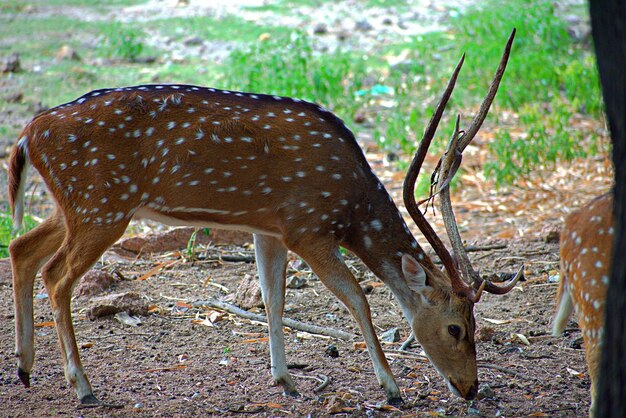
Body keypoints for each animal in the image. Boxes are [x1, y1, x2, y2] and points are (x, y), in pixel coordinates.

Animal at [8, 30, 516, 408]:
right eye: (456, 328)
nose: (470, 388)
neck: (351, 204)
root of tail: (27, 135)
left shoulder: (269, 229)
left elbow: (274, 299)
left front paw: (284, 380)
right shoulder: (307, 227)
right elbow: (356, 297)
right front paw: (391, 389)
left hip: (75, 206)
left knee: (21, 247)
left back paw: (26, 367)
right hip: (102, 207)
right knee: (56, 274)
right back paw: (82, 386)